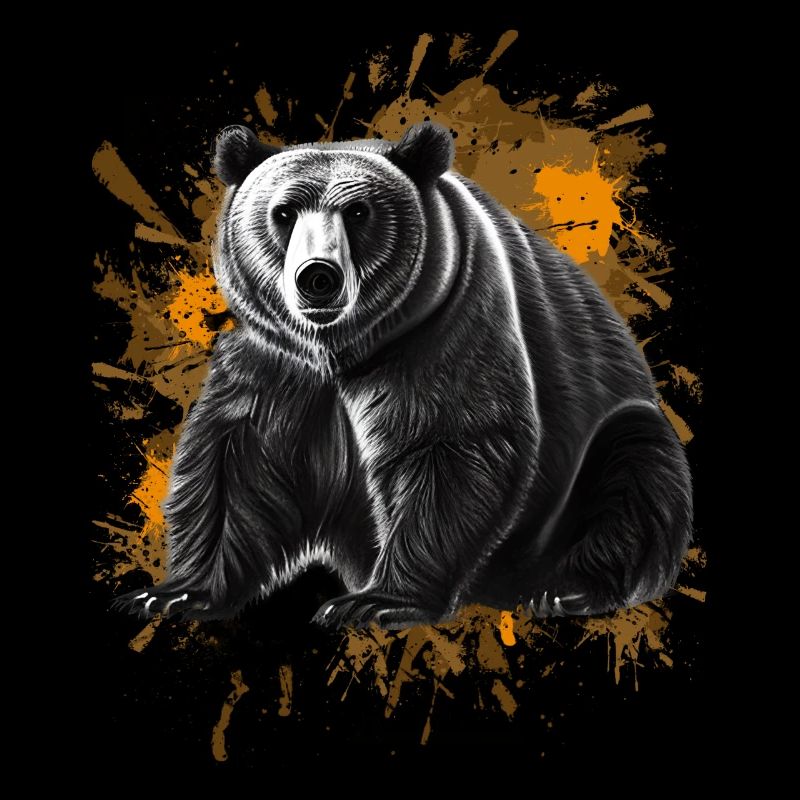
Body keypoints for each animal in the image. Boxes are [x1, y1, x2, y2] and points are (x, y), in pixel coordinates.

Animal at [116, 122, 692, 628]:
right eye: (283, 211)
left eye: (358, 210)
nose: (317, 277)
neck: (343, 350)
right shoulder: (278, 361)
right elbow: (238, 462)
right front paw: (172, 592)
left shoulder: (447, 326)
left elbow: (450, 444)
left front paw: (375, 601)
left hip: (601, 450)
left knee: (635, 472)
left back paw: (567, 591)